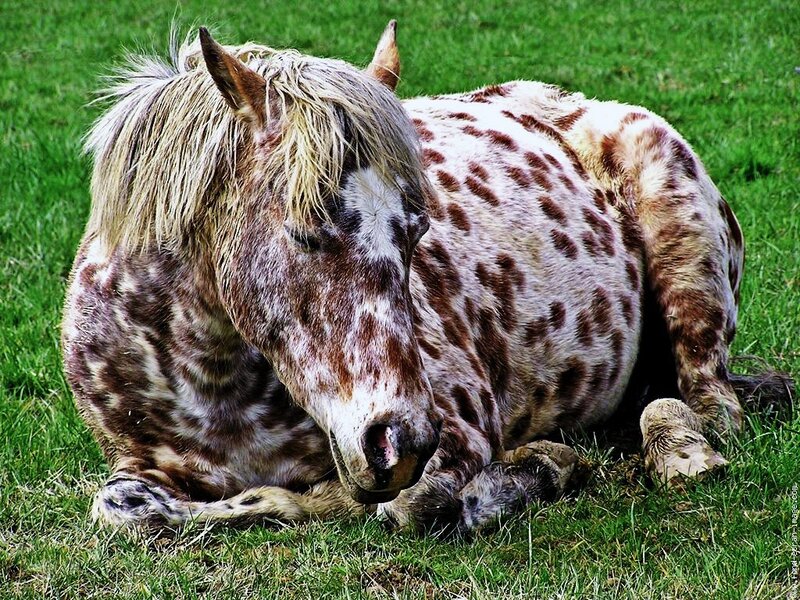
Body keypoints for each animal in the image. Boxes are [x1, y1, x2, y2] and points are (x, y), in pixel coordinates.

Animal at [62, 21, 789, 533]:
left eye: (416, 232)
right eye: (303, 230)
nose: (402, 442)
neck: (212, 382)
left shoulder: (457, 435)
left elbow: (403, 507)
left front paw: (538, 469)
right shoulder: (137, 467)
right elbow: (125, 511)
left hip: (689, 278)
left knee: (706, 405)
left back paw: (682, 453)